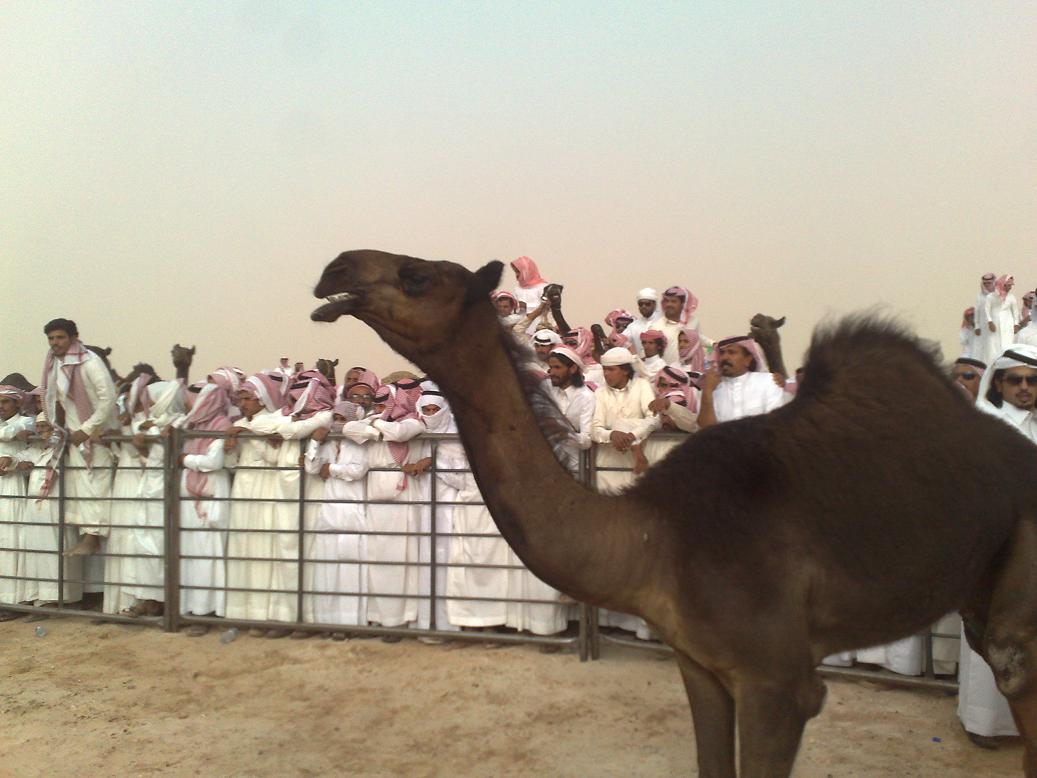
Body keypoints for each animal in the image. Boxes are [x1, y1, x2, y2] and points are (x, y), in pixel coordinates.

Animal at [311, 249, 1037, 777]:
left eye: (416, 275)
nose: (336, 268)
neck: (650, 536)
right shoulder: (701, 666)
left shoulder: (779, 683)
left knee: (1012, 666)